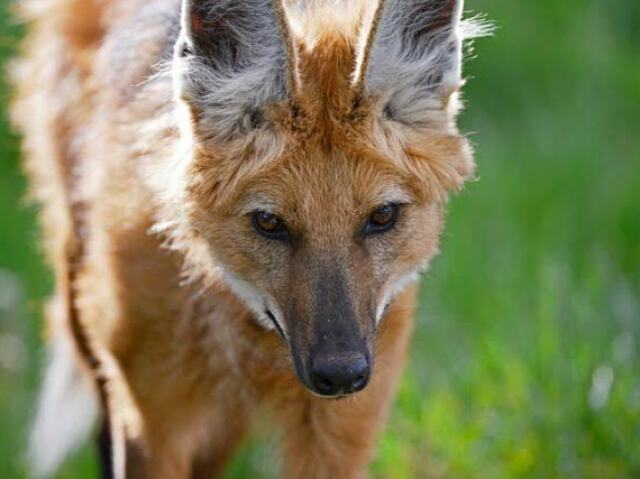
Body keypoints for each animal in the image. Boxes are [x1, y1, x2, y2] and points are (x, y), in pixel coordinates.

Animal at [11, 0, 490, 478]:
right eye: (269, 222)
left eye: (382, 216)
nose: (339, 375)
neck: (245, 331)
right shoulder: (151, 414)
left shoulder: (338, 428)